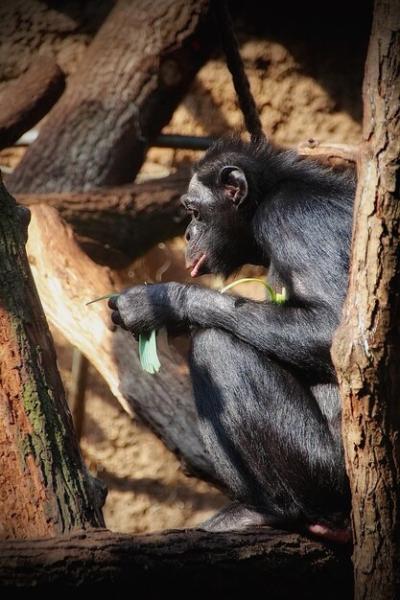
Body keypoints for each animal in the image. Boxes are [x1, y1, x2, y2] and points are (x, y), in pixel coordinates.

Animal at [108, 138, 354, 540]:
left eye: (194, 212)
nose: (187, 235)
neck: (265, 197)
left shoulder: (293, 219)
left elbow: (332, 328)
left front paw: (160, 301)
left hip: (325, 470)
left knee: (216, 347)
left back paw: (268, 511)